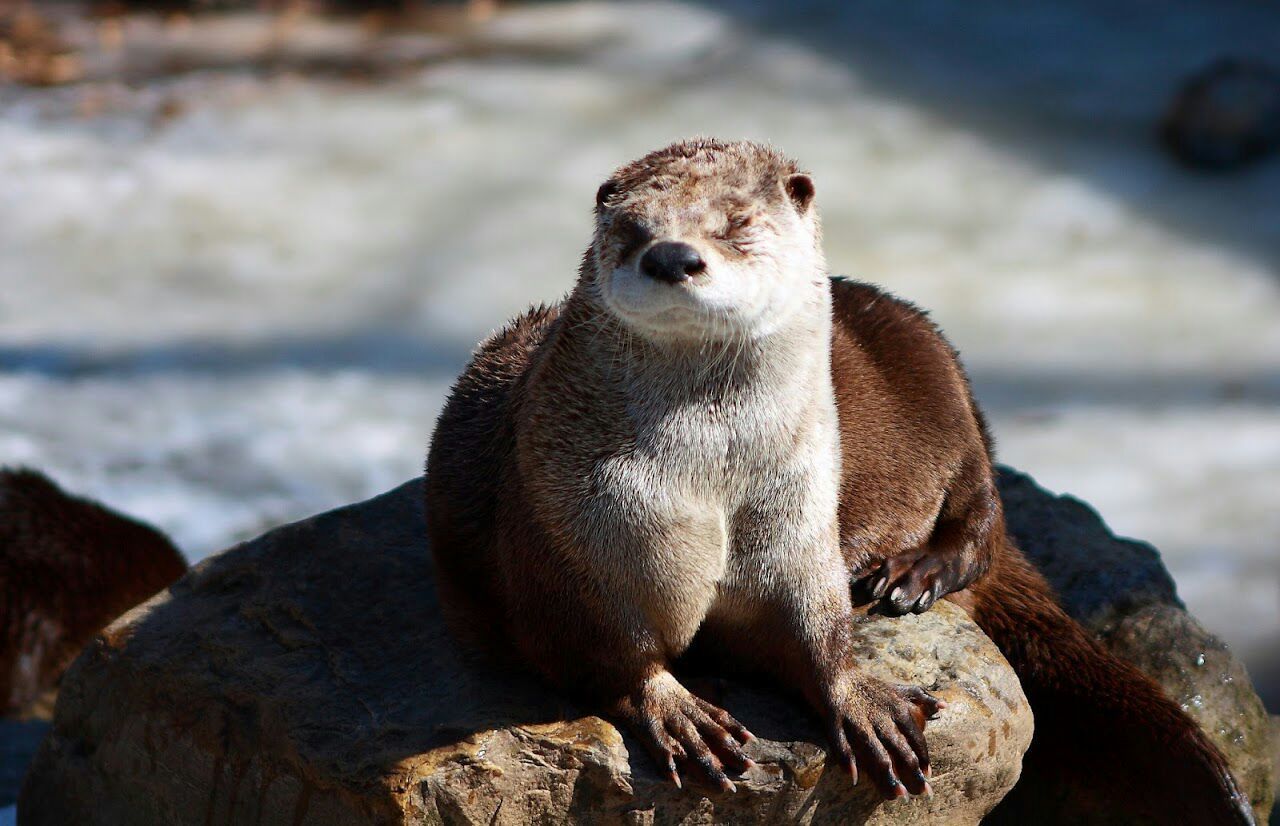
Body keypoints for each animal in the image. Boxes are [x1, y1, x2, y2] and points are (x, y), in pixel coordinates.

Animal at [430, 135, 1259, 819]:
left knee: (983, 517)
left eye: (736, 223)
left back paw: (912, 572)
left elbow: (811, 625)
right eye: (631, 231)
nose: (671, 257)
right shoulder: (564, 538)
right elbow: (599, 653)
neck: (708, 483)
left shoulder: (797, 518)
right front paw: (675, 708)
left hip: (942, 373)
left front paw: (860, 699)